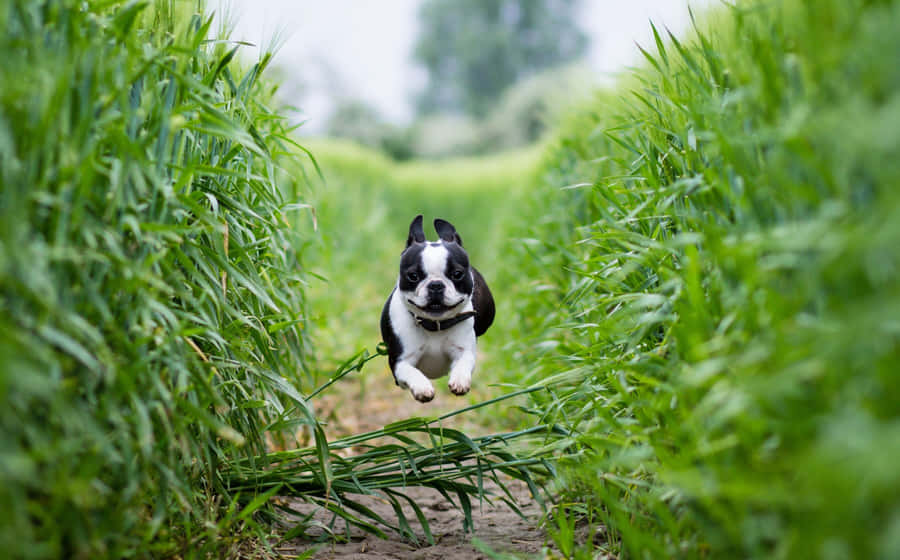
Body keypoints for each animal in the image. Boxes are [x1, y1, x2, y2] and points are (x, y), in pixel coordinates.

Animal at [378, 215, 496, 402]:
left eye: (457, 274)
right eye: (413, 276)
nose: (435, 285)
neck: (435, 325)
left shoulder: (464, 350)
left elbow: (463, 362)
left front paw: (460, 380)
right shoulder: (399, 362)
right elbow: (411, 371)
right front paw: (422, 387)